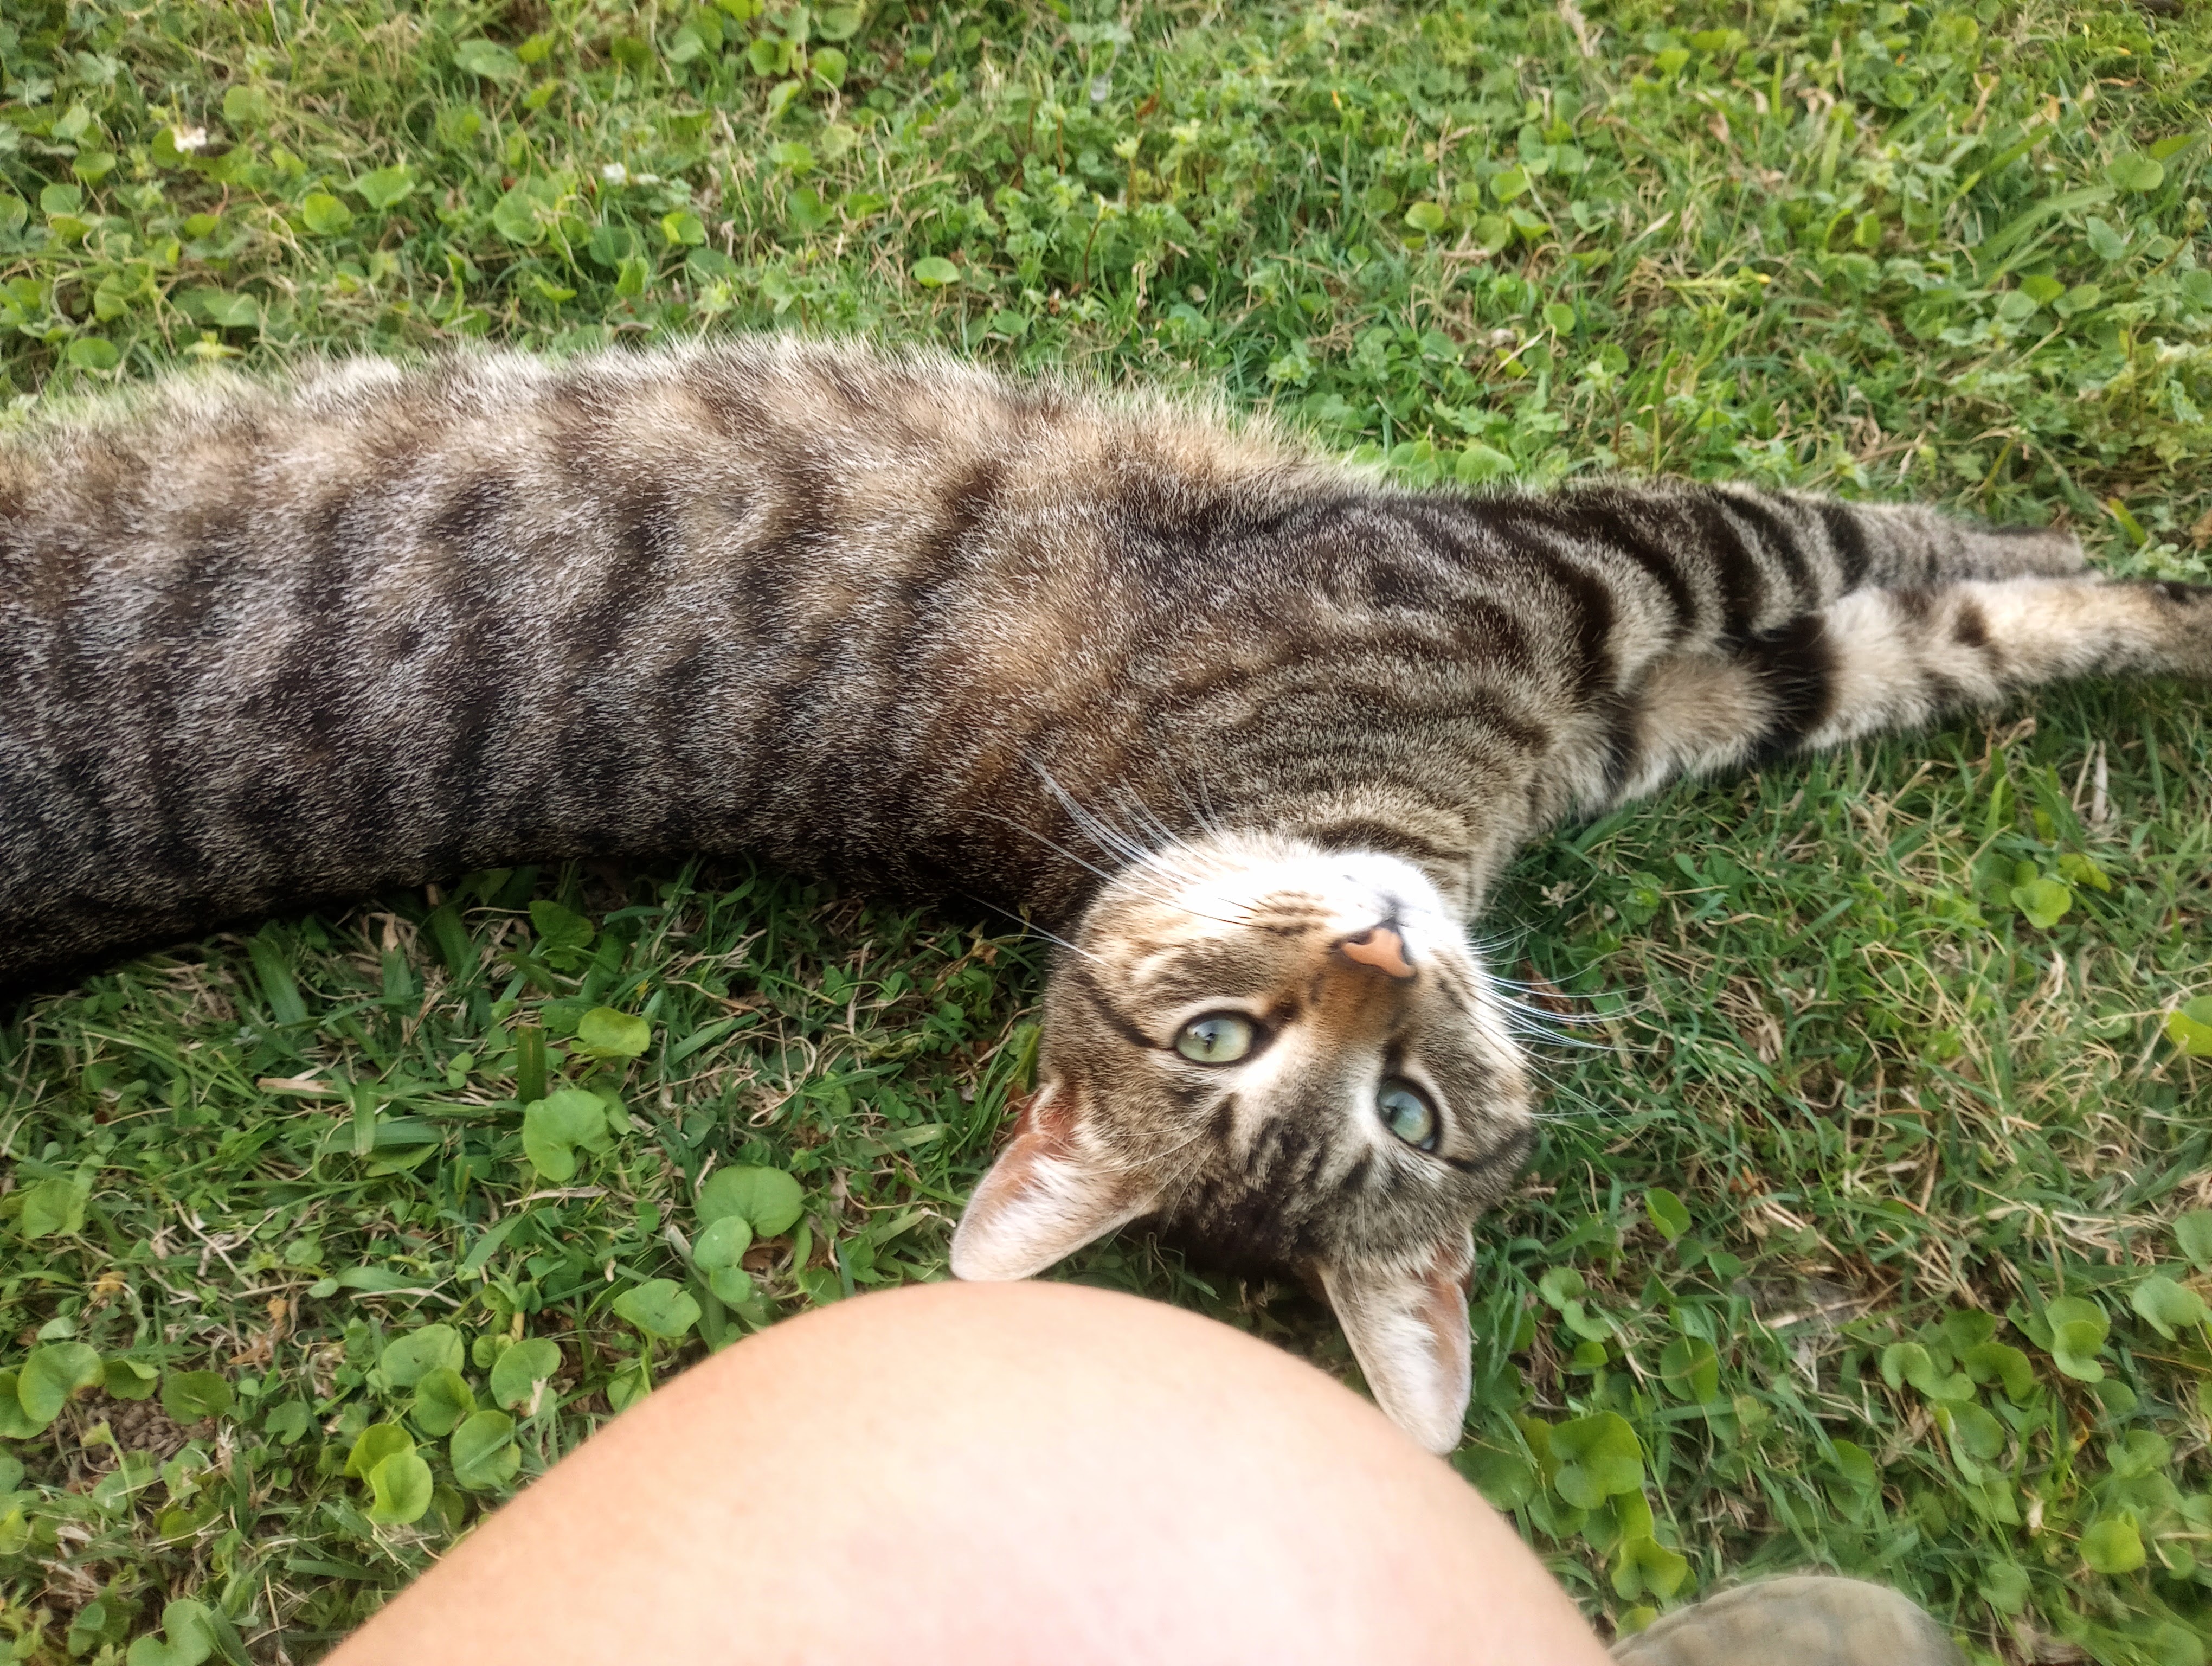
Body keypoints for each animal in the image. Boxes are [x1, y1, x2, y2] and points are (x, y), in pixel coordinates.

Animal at [4, 337, 2207, 1452]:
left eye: (1407, 1106)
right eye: (1229, 1045)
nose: (1375, 947)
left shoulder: (1658, 682)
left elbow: (1916, 627)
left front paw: (2116, 601)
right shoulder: (1554, 570)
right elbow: (1852, 533)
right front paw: (2154, 584)